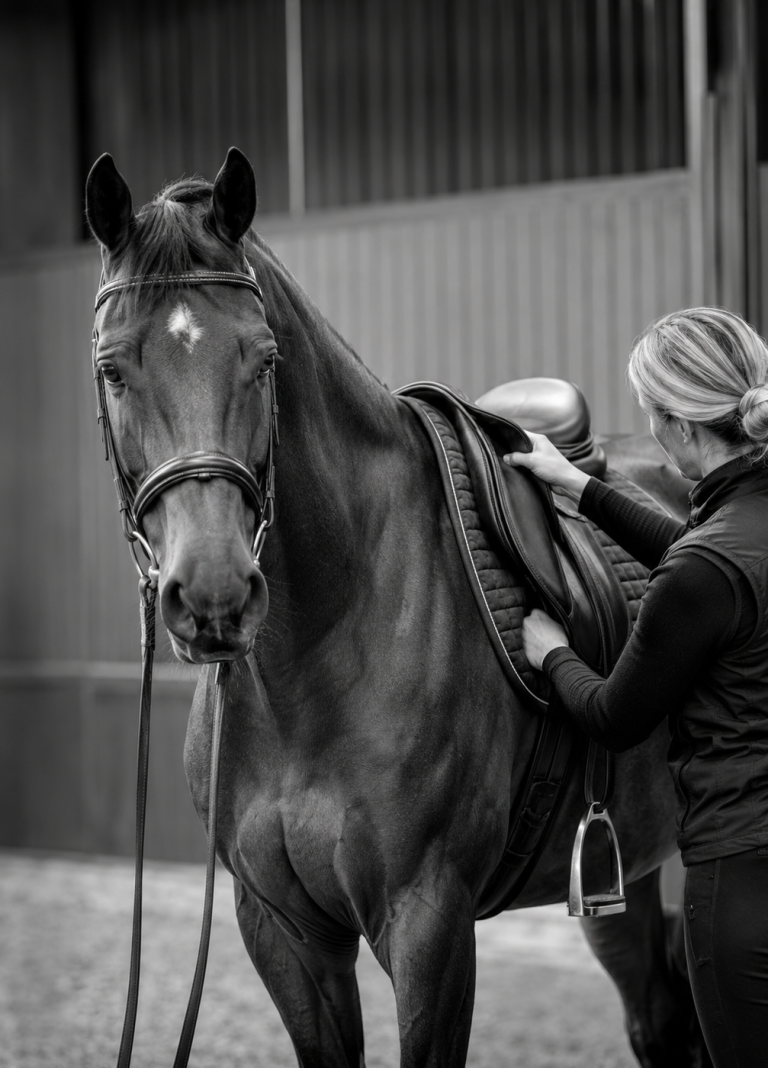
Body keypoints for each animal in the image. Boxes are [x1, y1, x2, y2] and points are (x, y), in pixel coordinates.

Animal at [85, 147, 709, 1068]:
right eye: (112, 368)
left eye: (265, 359)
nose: (215, 594)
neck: (317, 658)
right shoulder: (281, 929)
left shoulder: (429, 924)